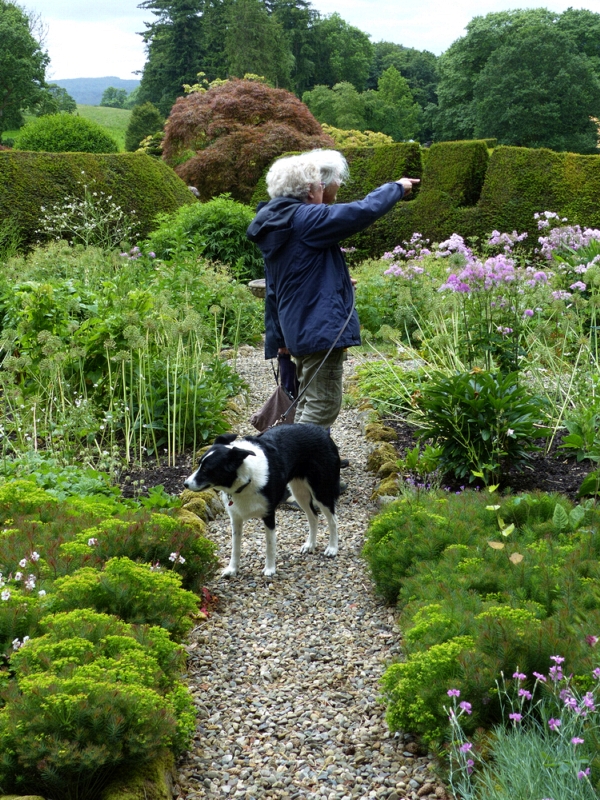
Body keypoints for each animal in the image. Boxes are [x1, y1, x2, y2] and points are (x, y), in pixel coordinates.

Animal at [183, 422, 340, 580]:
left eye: (207, 469)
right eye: (199, 464)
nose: (185, 484)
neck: (246, 479)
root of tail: (321, 431)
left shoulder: (269, 515)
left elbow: (270, 545)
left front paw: (270, 569)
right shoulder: (236, 518)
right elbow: (235, 547)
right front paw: (232, 569)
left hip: (321, 492)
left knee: (332, 520)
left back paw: (332, 548)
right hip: (299, 492)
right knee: (313, 516)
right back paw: (310, 545)